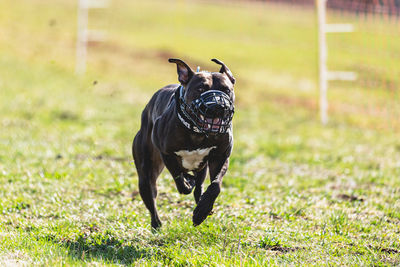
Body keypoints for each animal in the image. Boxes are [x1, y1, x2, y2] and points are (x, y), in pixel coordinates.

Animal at [133, 58, 236, 228]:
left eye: (226, 90)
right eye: (201, 88)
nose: (218, 105)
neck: (198, 132)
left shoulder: (220, 157)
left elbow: (215, 186)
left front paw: (201, 211)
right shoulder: (166, 153)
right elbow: (178, 176)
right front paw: (186, 183)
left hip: (202, 168)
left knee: (199, 187)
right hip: (146, 174)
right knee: (152, 197)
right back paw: (157, 224)